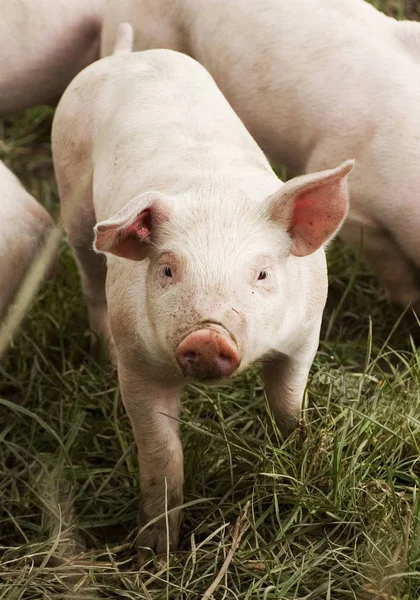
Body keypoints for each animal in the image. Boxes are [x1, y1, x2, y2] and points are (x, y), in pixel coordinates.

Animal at [51, 30, 354, 556]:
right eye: (168, 270)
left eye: (262, 274)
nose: (208, 337)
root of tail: (126, 55)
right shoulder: (139, 364)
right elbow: (162, 456)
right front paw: (156, 554)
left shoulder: (305, 333)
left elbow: (288, 403)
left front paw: (299, 454)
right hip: (74, 203)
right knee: (90, 284)